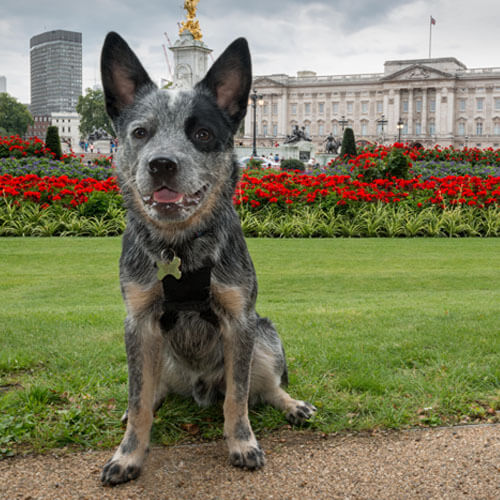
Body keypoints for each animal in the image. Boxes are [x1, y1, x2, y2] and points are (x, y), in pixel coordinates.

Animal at [99, 33, 314, 486]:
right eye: (140, 132)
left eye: (201, 133)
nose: (162, 164)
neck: (179, 247)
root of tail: (199, 386)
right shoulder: (138, 323)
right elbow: (140, 400)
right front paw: (129, 453)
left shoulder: (240, 322)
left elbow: (238, 398)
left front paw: (241, 442)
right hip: (156, 354)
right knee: (149, 392)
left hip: (264, 335)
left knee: (263, 387)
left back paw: (290, 404)